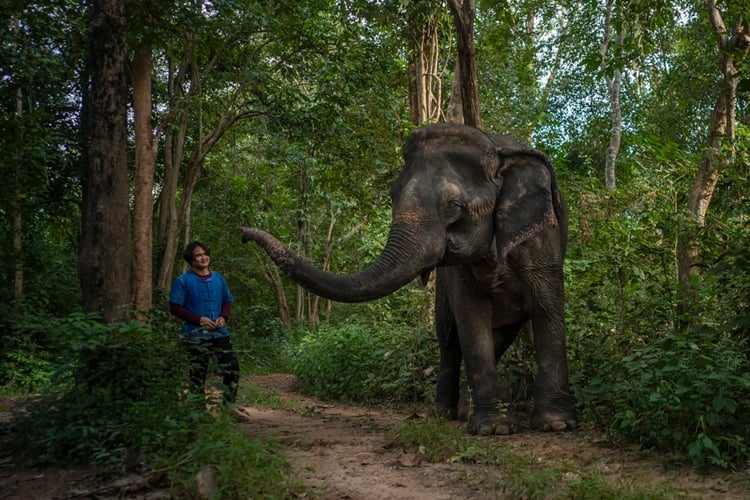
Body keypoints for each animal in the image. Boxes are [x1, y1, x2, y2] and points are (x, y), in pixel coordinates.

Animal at [241, 123, 577, 435]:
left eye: (454, 207)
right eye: (392, 195)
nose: (243, 233)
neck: (498, 153)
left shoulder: (543, 240)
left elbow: (547, 308)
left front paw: (555, 424)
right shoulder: (458, 273)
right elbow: (470, 317)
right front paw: (493, 428)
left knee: (498, 333)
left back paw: (466, 410)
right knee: (449, 337)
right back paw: (444, 414)